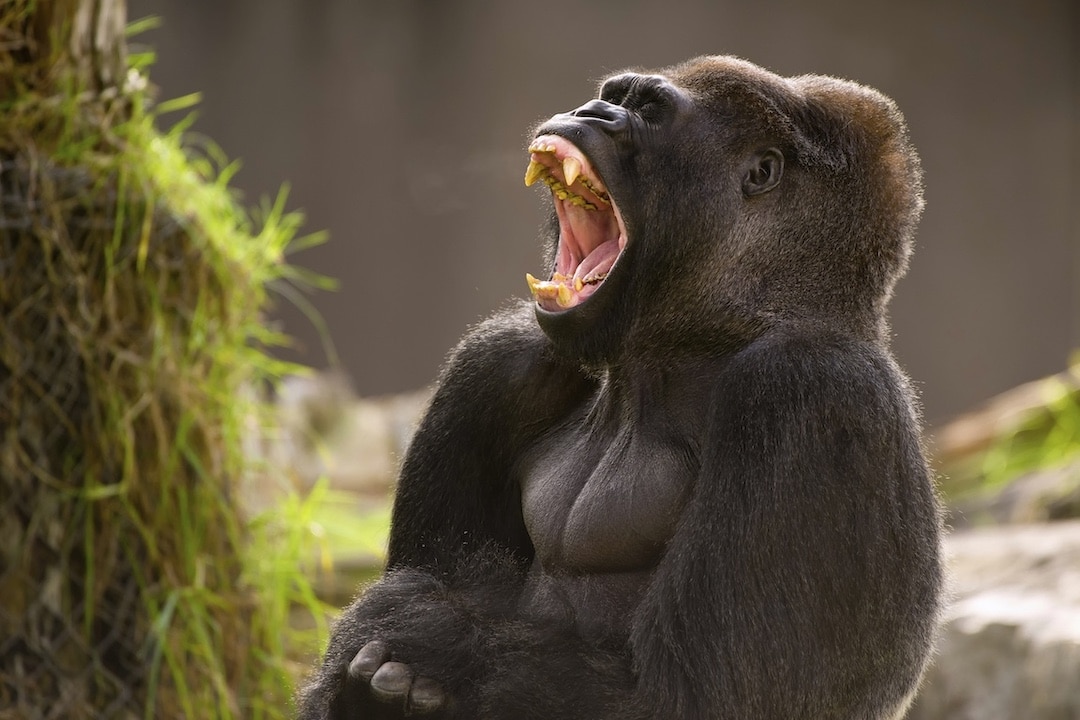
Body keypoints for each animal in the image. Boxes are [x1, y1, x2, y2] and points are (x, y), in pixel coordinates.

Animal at [297, 55, 942, 720]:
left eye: (649, 111)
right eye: (613, 96)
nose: (591, 111)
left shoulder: (809, 388)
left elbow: (685, 694)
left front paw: (428, 636)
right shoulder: (499, 361)